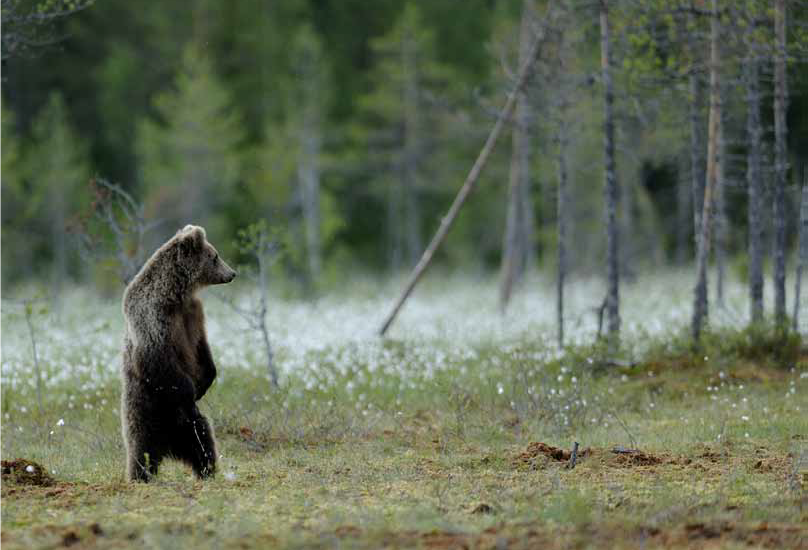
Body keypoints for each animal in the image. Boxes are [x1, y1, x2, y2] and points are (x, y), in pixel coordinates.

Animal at [119, 224, 237, 484]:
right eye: (215, 256)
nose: (232, 273)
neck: (176, 293)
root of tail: (169, 446)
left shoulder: (193, 315)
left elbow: (202, 349)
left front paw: (205, 382)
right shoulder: (154, 319)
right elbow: (161, 362)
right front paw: (191, 391)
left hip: (187, 428)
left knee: (201, 439)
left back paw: (207, 470)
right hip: (145, 409)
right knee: (141, 447)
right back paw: (139, 476)